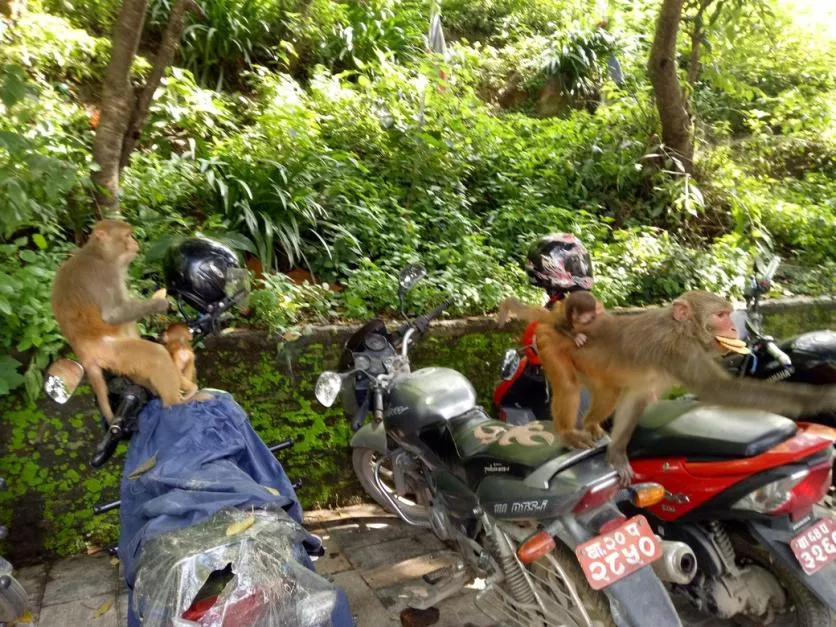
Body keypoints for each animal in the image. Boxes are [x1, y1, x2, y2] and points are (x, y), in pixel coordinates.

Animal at [51, 218, 185, 424]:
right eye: (127, 236)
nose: (135, 243)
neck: (99, 254)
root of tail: (83, 354)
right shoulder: (106, 275)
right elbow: (112, 315)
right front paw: (160, 304)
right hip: (110, 352)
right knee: (155, 355)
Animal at [500, 292, 832, 484]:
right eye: (720, 315)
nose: (733, 327)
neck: (682, 328)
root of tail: (551, 316)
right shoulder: (679, 351)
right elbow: (717, 389)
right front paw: (820, 398)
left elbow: (636, 399)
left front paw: (617, 454)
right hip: (550, 341)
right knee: (569, 385)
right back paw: (569, 432)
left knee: (609, 393)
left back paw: (592, 424)